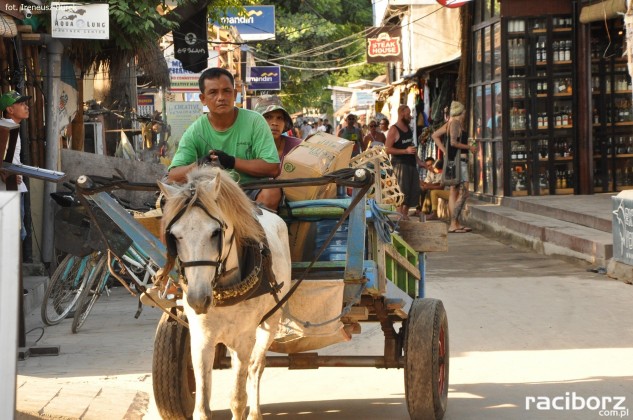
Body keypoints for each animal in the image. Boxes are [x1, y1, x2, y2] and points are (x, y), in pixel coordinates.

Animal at [159, 168, 292, 420]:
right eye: (175, 235)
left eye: (215, 233)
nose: (197, 299)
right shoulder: (201, 338)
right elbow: (202, 407)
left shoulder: (244, 338)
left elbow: (238, 400)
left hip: (270, 321)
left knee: (256, 368)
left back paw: (256, 413)